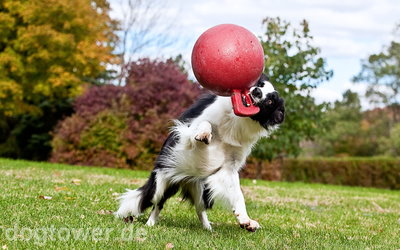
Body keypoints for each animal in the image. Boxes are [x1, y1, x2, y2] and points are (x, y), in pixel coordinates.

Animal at [115, 74, 284, 232]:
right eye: (259, 84)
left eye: (270, 101)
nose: (256, 92)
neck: (235, 120)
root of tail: (184, 179)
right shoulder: (187, 131)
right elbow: (205, 123)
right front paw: (204, 134)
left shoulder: (229, 167)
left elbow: (238, 194)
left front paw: (246, 220)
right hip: (161, 182)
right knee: (157, 203)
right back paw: (150, 224)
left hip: (202, 190)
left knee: (199, 209)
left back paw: (208, 228)